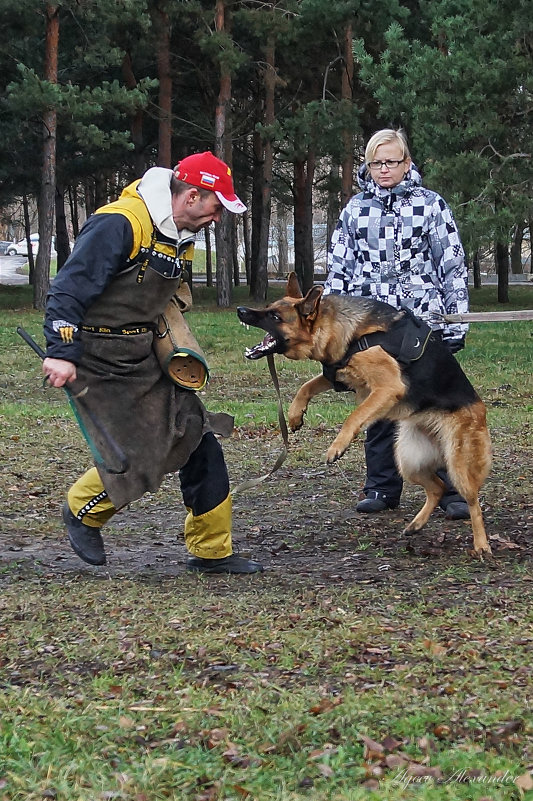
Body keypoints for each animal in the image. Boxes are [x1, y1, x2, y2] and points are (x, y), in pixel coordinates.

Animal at [235, 272, 492, 560]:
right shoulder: (338, 375)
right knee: (437, 488)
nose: (240, 310)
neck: (349, 332)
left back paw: (481, 544)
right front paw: (294, 415)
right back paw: (416, 524)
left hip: (458, 467)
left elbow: (354, 416)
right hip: (409, 461)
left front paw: (337, 447)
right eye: (269, 308)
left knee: (472, 501)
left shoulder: (387, 387)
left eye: (275, 316)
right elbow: (307, 386)